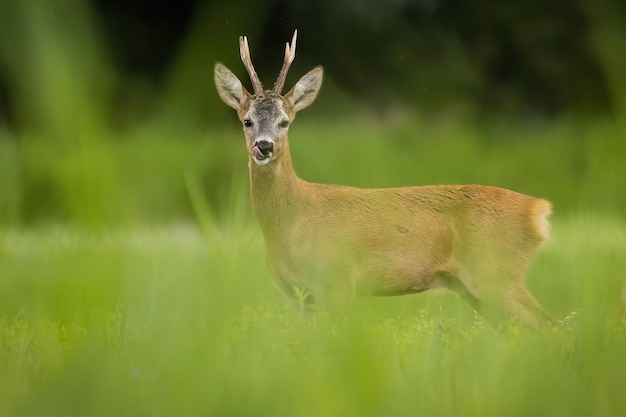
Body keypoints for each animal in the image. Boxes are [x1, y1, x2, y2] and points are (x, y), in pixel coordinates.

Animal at [213, 30, 552, 326]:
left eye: (284, 122)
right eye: (247, 121)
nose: (264, 146)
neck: (292, 221)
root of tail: (538, 209)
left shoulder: (339, 282)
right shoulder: (299, 295)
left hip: (495, 274)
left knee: (551, 324)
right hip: (477, 288)